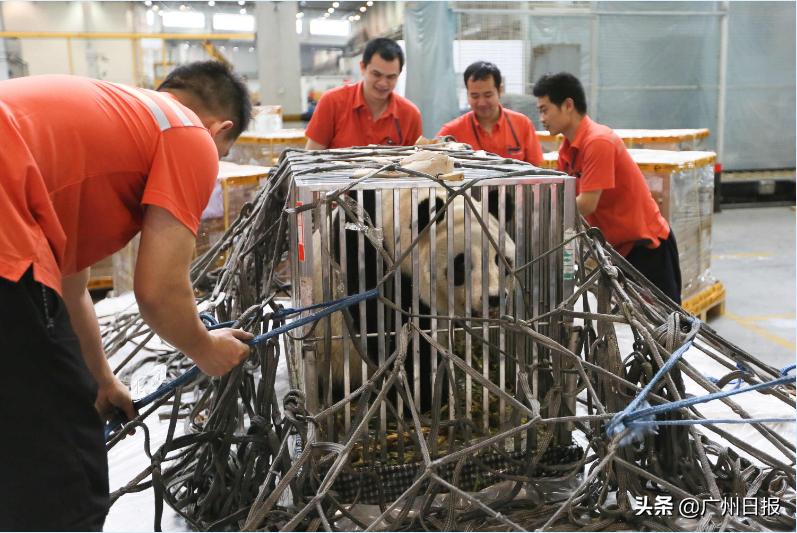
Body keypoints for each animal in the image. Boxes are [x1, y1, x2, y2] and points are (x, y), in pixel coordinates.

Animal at [310, 183, 516, 412]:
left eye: (502, 260)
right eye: (461, 265)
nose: (494, 297)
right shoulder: (362, 249)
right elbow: (386, 327)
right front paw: (421, 397)